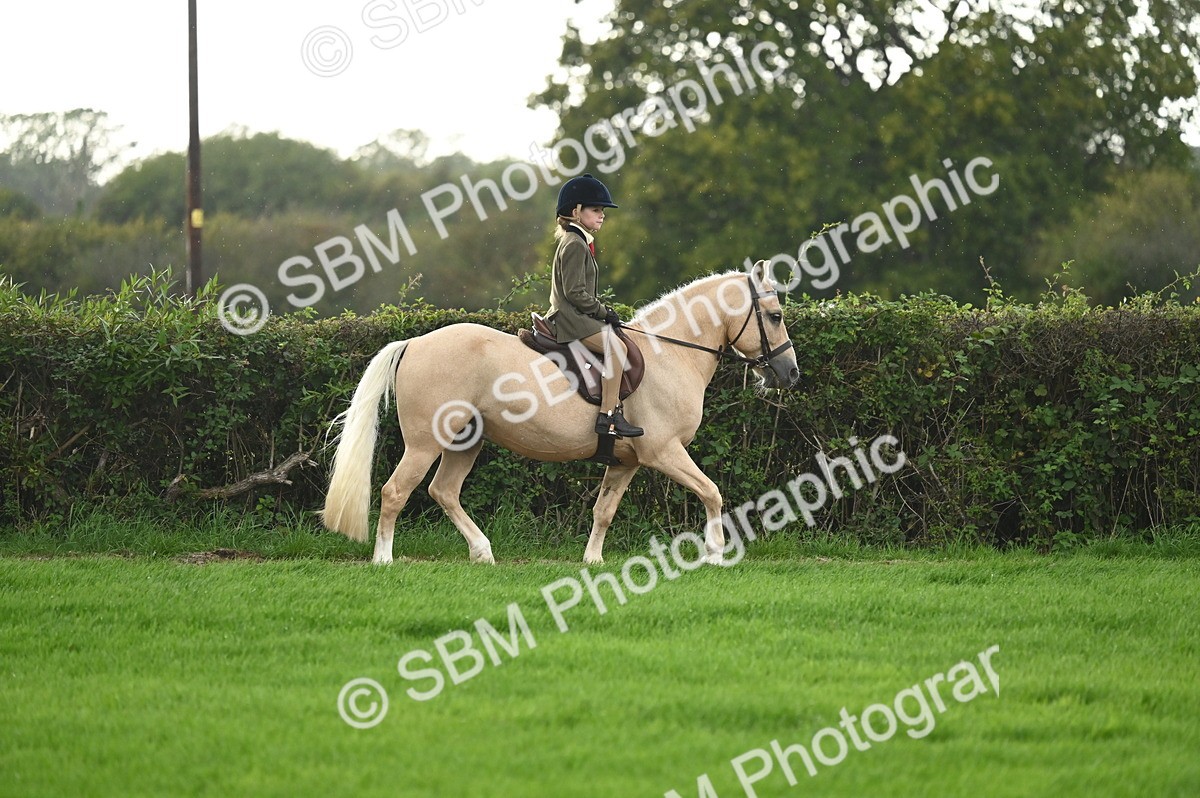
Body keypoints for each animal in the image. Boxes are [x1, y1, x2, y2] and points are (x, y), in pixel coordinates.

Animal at [320, 260, 800, 565]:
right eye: (775, 316)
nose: (790, 373)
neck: (671, 354)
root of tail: (415, 342)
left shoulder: (625, 463)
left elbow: (604, 511)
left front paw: (593, 560)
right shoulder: (664, 452)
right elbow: (712, 492)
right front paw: (717, 553)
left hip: (465, 441)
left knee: (444, 492)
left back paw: (483, 552)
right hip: (424, 444)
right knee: (394, 492)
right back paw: (385, 560)